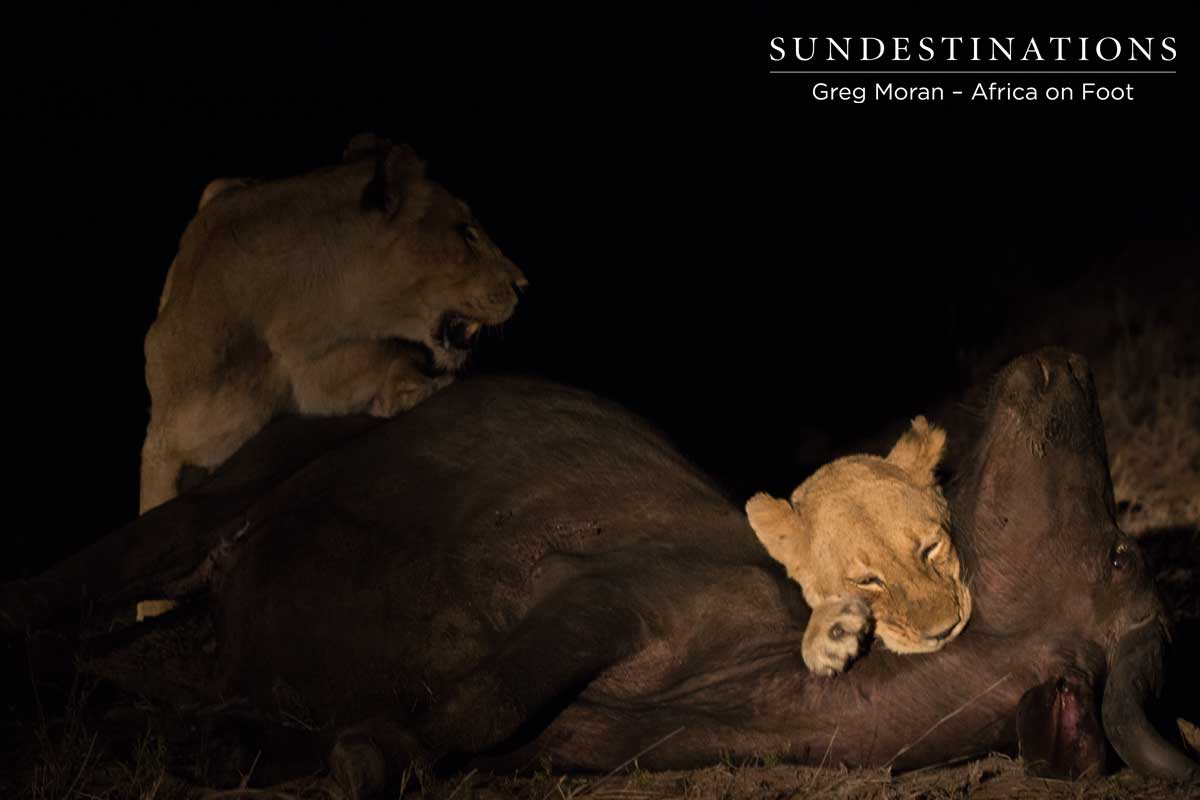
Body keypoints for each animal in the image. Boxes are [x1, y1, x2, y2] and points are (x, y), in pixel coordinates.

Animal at [139, 134, 528, 514]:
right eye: (468, 233)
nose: (523, 284)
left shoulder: (329, 379)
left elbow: (391, 367)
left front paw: (413, 389)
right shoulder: (162, 444)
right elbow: (156, 495)